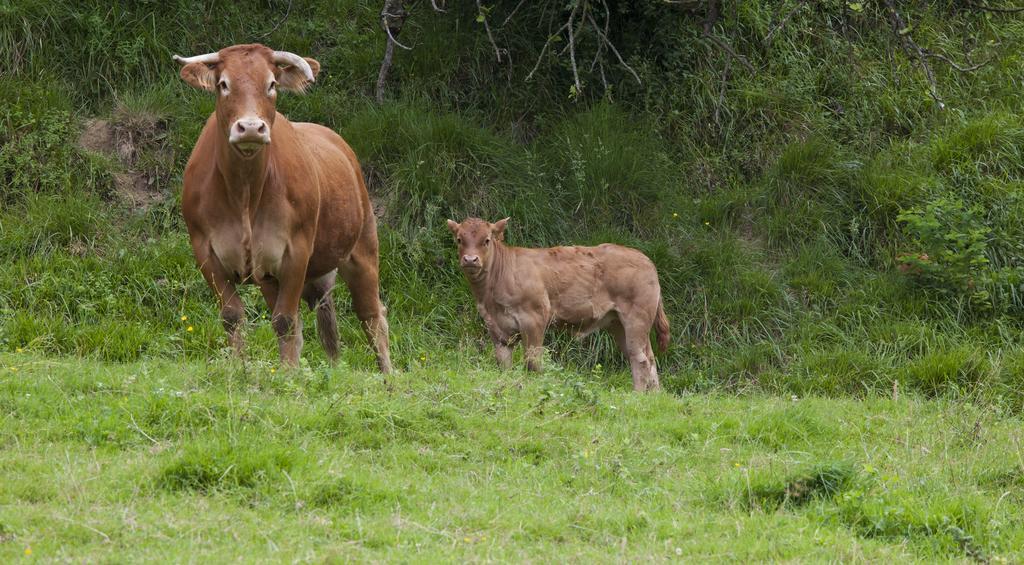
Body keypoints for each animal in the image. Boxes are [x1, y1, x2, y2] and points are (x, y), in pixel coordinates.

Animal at [174, 44, 389, 370]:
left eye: (272, 84)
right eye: (223, 84)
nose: (251, 128)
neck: (244, 194)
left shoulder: (296, 252)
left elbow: (284, 321)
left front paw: (286, 374)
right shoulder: (206, 252)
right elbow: (233, 317)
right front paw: (240, 370)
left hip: (363, 248)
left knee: (372, 317)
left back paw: (389, 375)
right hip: (273, 276)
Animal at [444, 216, 667, 393]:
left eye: (487, 240)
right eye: (459, 240)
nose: (470, 259)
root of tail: (646, 259)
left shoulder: (533, 319)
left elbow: (532, 361)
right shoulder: (496, 328)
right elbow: (503, 364)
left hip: (636, 318)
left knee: (640, 358)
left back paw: (638, 396)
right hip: (618, 323)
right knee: (648, 356)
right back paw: (654, 397)